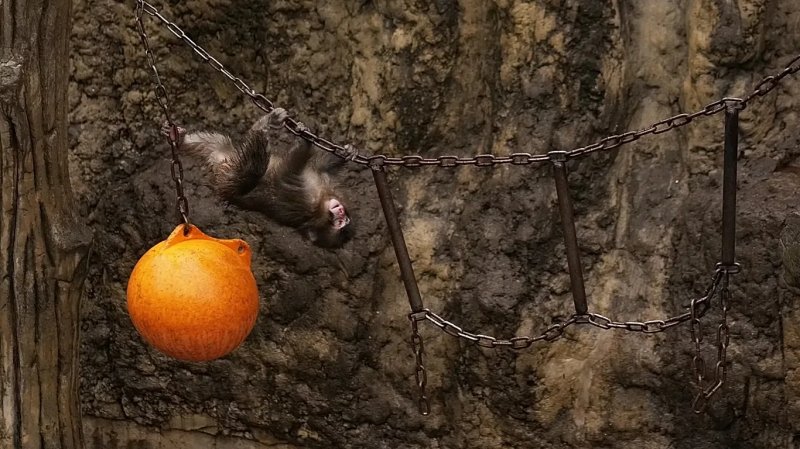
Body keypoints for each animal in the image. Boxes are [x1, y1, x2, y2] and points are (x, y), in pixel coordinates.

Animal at [163, 109, 354, 249]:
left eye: (341, 222)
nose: (342, 212)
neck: (322, 202)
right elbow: (322, 165)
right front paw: (347, 152)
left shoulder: (306, 202)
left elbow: (287, 174)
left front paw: (305, 143)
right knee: (217, 142)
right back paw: (179, 138)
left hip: (231, 177)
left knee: (253, 169)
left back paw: (263, 126)